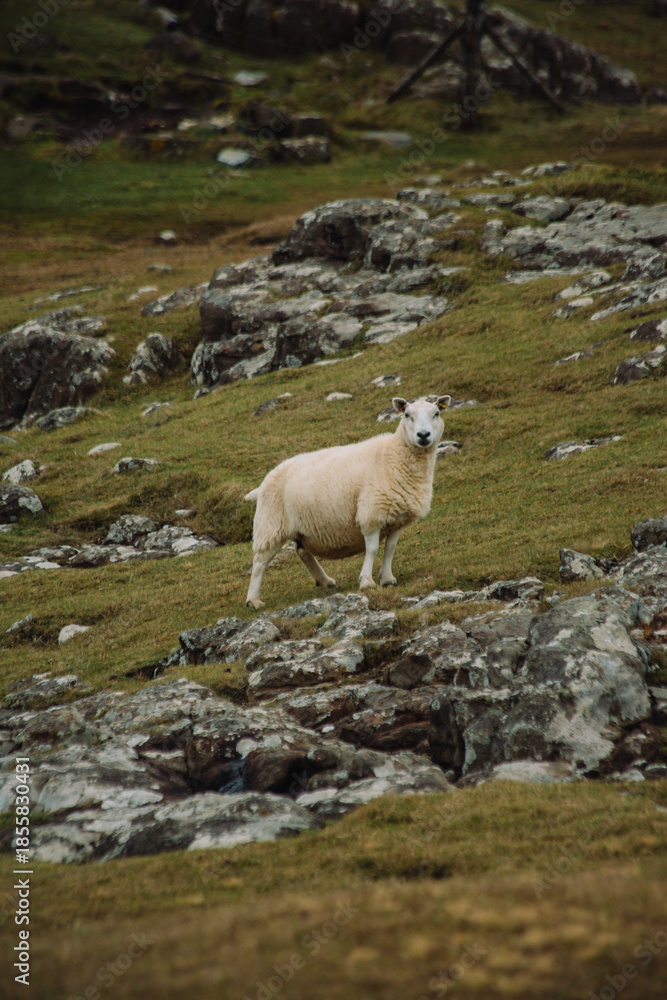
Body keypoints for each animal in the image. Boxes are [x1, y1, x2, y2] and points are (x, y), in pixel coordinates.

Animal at [244, 395, 451, 608]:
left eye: (437, 413)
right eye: (407, 415)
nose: (423, 435)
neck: (394, 455)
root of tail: (263, 484)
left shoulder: (397, 518)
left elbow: (390, 549)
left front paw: (386, 578)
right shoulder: (371, 513)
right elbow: (373, 549)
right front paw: (366, 581)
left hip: (300, 527)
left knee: (302, 551)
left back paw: (325, 581)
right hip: (270, 525)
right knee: (259, 563)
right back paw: (254, 600)